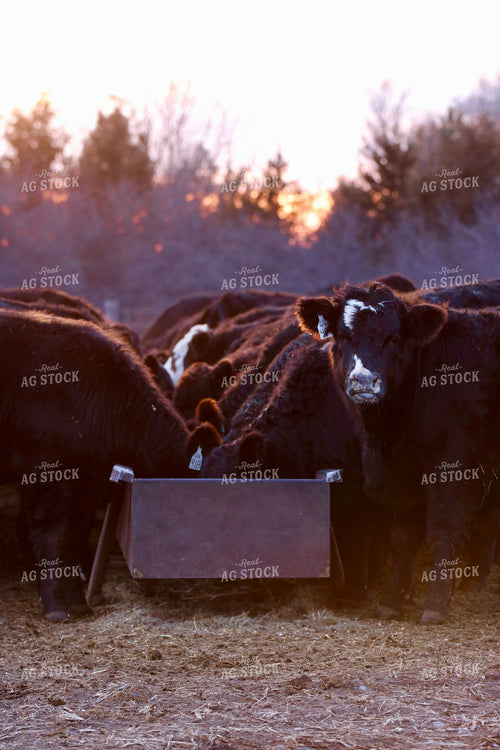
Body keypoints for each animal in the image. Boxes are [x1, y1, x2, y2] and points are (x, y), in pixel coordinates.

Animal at [296, 281, 500, 623]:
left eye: (393, 338)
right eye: (344, 336)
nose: (364, 381)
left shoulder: (452, 468)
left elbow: (443, 528)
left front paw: (436, 602)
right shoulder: (404, 473)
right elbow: (406, 534)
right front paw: (393, 597)